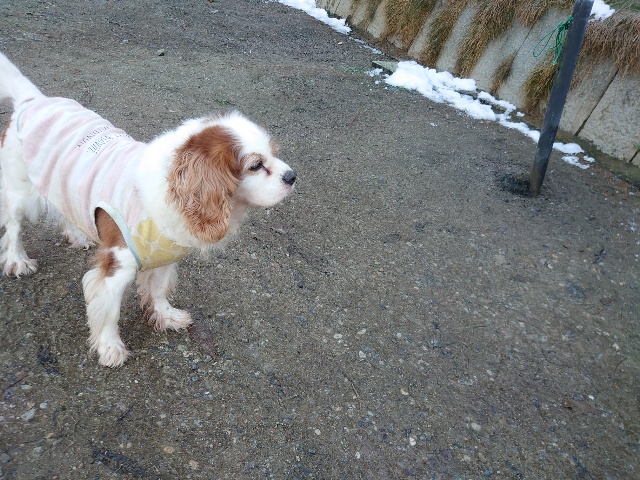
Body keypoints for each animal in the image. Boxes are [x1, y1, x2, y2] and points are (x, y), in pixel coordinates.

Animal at [0, 52, 296, 367]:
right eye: (255, 165)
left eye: (274, 153)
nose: (292, 176)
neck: (174, 188)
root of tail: (33, 100)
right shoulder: (117, 267)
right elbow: (110, 309)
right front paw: (110, 346)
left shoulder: (167, 255)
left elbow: (159, 289)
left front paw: (165, 315)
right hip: (20, 190)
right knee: (14, 227)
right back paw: (18, 260)